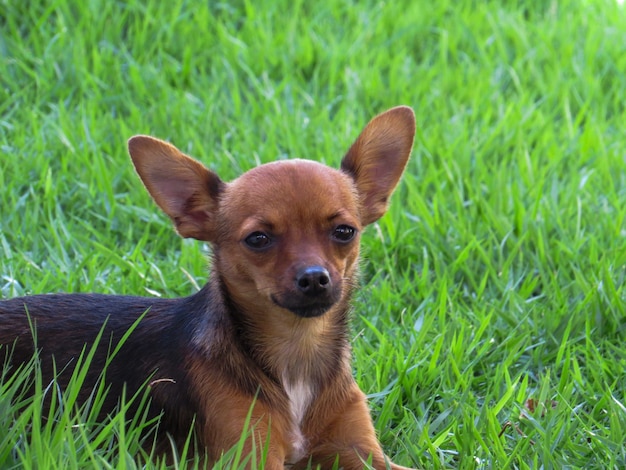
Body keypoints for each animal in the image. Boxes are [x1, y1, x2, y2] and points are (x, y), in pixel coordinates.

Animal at [2, 107, 416, 470]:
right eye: (258, 239)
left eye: (345, 232)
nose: (314, 277)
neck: (297, 353)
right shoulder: (253, 458)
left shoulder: (366, 456)